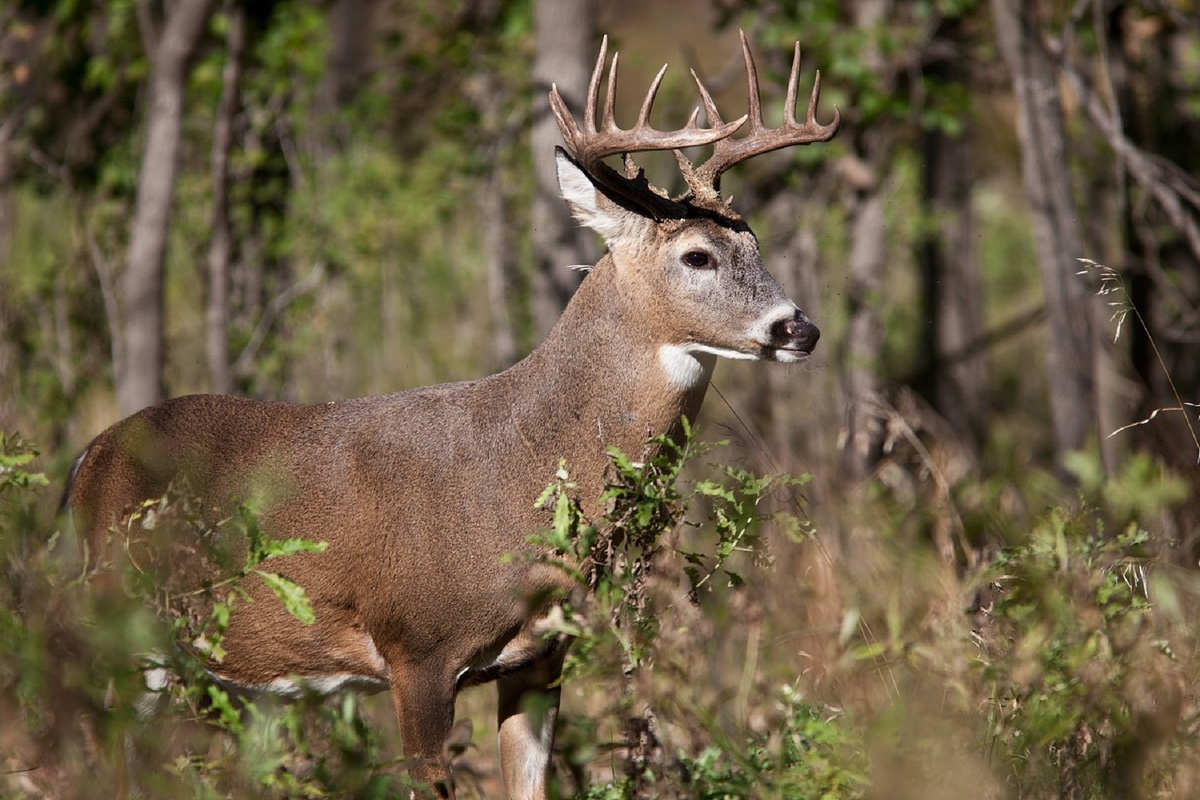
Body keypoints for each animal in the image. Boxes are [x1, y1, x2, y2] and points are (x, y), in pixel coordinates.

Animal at [63, 31, 835, 800]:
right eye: (697, 256)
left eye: (755, 245)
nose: (800, 328)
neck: (519, 466)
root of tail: (85, 461)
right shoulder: (417, 649)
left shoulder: (539, 660)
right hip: (120, 619)